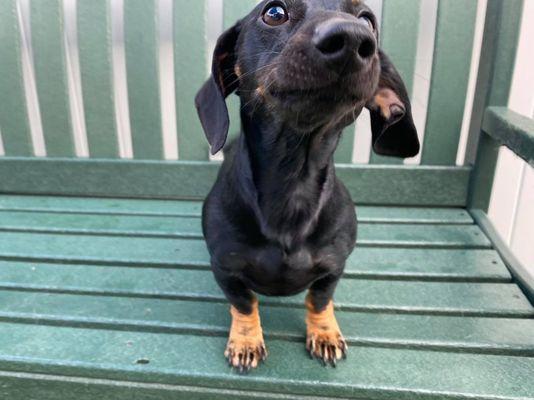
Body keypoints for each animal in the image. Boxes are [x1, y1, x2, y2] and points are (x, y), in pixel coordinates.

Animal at [195, 0, 420, 372]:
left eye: (367, 21)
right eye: (274, 13)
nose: (352, 38)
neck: (293, 184)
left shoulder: (333, 267)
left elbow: (319, 299)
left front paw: (324, 333)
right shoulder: (225, 269)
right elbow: (244, 304)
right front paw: (246, 340)